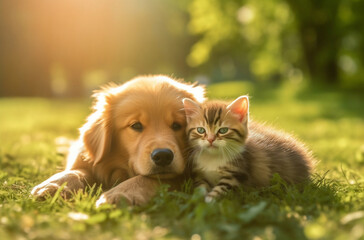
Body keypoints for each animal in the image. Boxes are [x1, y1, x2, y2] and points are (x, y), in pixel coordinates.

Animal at [31, 76, 205, 205]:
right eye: (136, 125)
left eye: (177, 125)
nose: (163, 156)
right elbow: (76, 171)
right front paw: (54, 185)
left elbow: (147, 178)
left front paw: (121, 193)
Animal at [183, 96, 314, 202]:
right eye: (201, 130)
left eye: (223, 130)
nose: (210, 139)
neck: (212, 158)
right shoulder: (199, 174)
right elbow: (200, 187)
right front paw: (197, 198)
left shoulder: (236, 175)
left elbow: (221, 189)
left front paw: (209, 201)